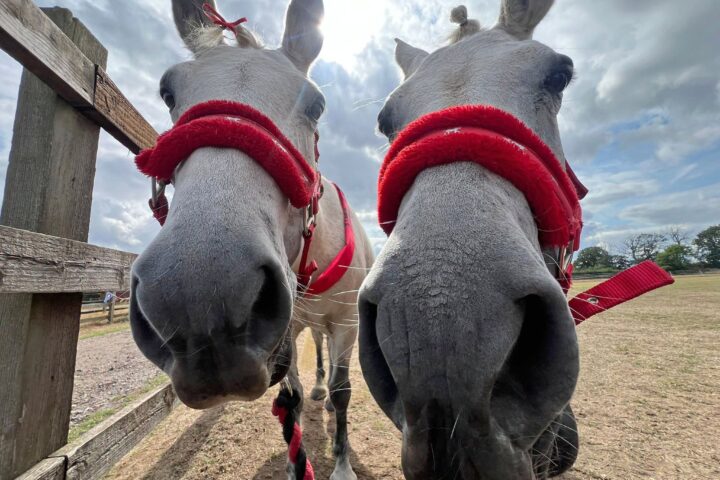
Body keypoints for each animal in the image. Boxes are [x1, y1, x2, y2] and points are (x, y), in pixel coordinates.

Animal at [129, 1, 373, 478]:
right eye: (168, 93)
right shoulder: (288, 328)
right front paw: (297, 464)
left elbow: (344, 391)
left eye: (316, 104)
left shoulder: (347, 323)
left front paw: (342, 464)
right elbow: (292, 399)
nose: (198, 298)